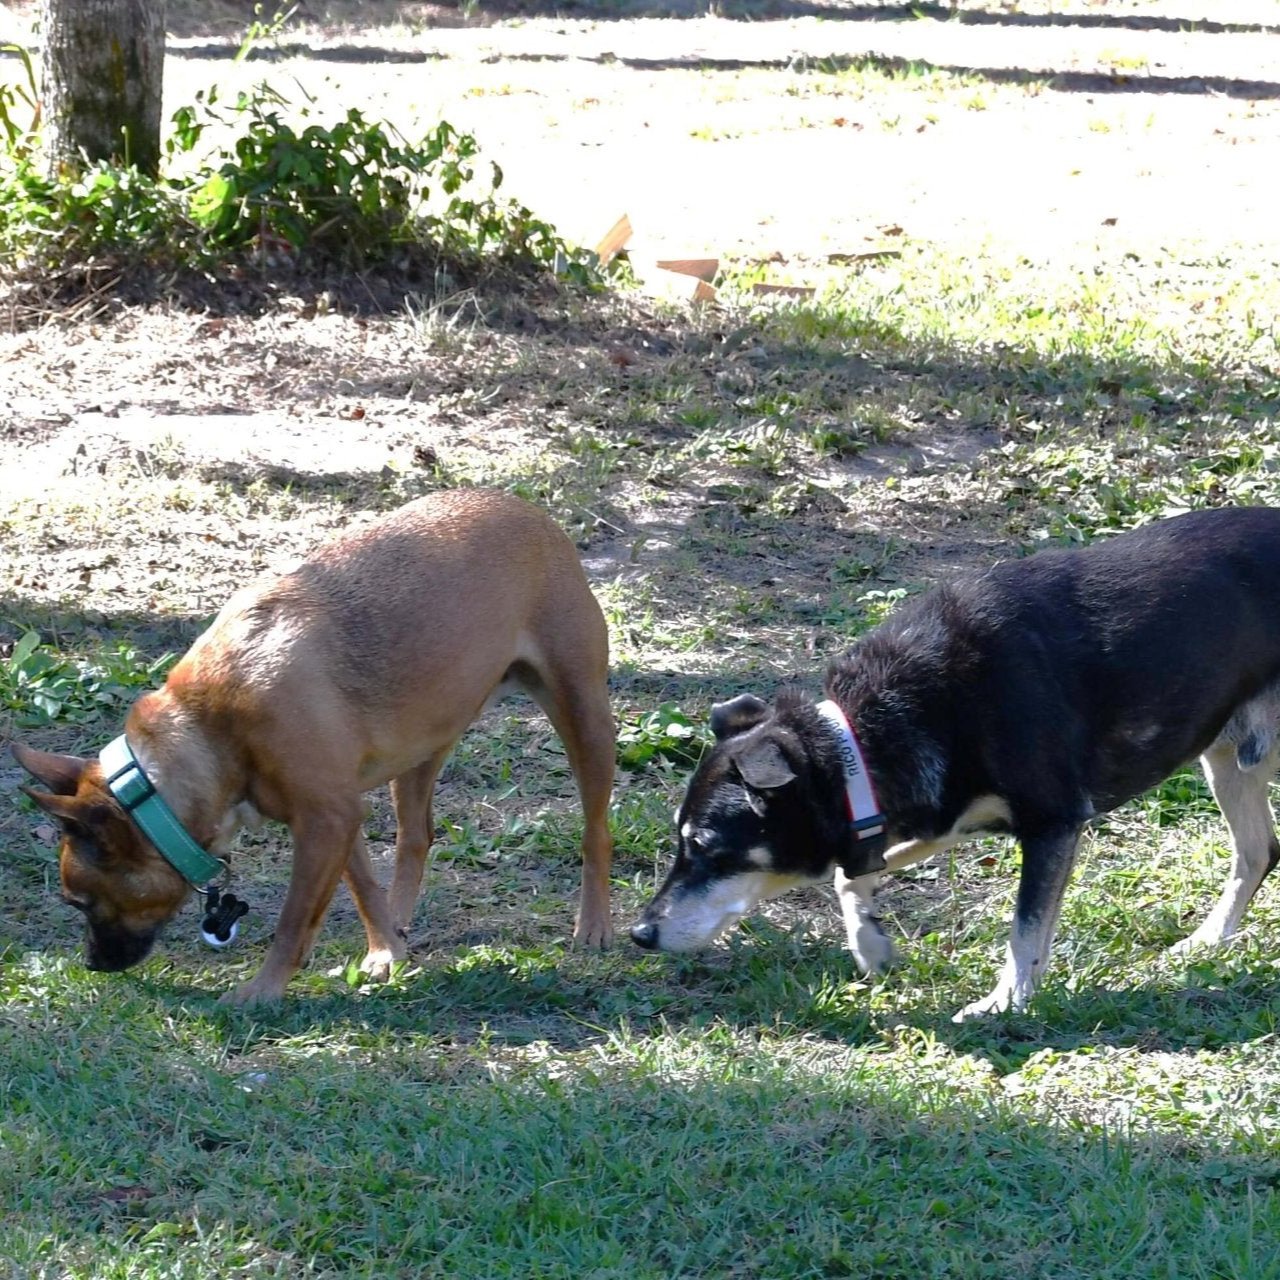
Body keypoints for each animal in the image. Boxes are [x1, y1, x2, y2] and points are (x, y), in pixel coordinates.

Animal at [12, 486, 614, 998]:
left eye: (79, 902)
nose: (91, 964)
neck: (211, 726)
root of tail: (528, 509)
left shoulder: (326, 820)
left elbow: (293, 919)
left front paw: (261, 992)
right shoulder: (338, 820)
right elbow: (364, 891)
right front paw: (386, 950)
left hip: (584, 719)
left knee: (595, 833)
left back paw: (594, 926)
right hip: (421, 747)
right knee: (416, 837)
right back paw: (402, 921)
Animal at [634, 509, 1280, 1018]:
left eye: (708, 849)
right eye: (680, 843)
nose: (641, 932)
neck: (867, 733)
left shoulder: (1051, 823)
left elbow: (1025, 930)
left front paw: (1005, 1003)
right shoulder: (944, 815)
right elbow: (850, 875)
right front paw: (870, 945)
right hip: (1229, 761)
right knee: (1258, 852)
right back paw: (1207, 941)